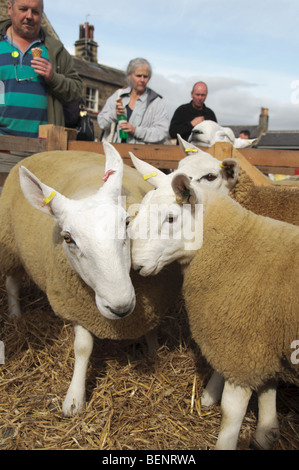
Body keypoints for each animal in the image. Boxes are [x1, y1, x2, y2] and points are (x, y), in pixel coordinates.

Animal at [0, 145, 183, 416]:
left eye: (126, 223)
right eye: (67, 238)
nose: (120, 306)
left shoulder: (154, 302)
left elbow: (151, 329)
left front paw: (153, 351)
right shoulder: (75, 306)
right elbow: (83, 347)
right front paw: (74, 399)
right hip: (10, 244)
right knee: (12, 282)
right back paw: (15, 314)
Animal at [129, 162, 299, 452]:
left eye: (171, 218)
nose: (136, 266)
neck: (237, 246)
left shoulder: (241, 345)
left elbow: (232, 412)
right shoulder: (263, 338)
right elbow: (268, 385)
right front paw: (266, 432)